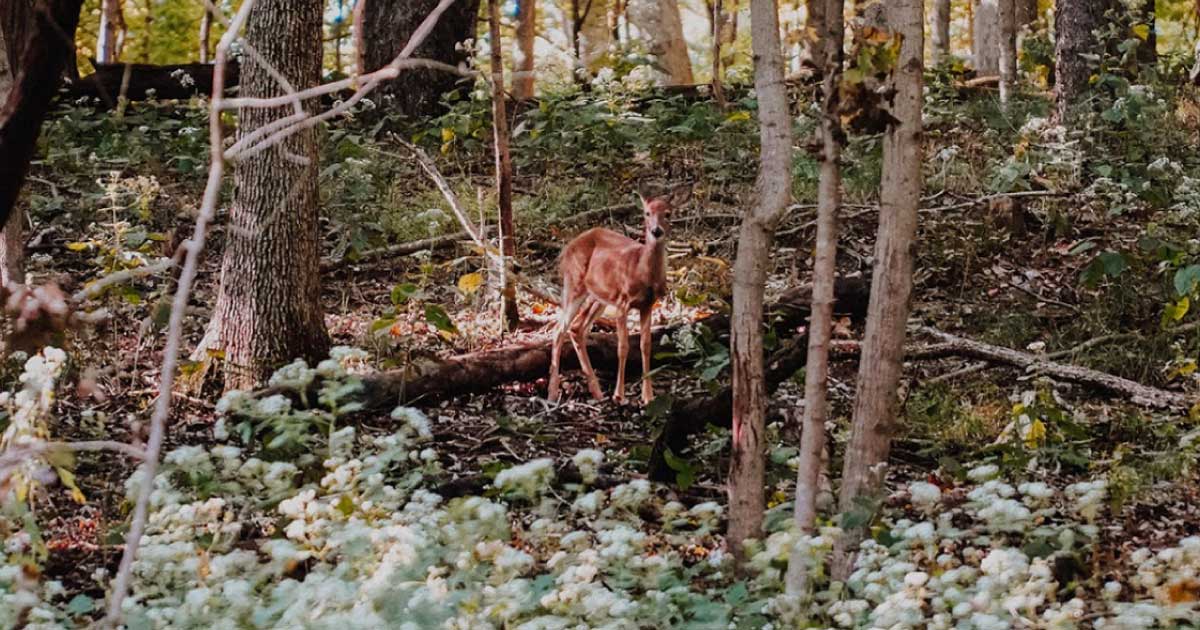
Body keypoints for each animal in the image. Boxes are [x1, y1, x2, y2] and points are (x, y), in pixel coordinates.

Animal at [547, 182, 691, 405]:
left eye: (668, 213)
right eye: (647, 213)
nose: (656, 231)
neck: (641, 270)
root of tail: (566, 248)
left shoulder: (647, 304)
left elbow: (645, 345)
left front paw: (648, 396)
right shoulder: (623, 302)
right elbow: (622, 347)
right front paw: (619, 395)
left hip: (599, 296)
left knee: (577, 328)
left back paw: (597, 392)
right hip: (574, 283)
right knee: (558, 329)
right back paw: (553, 393)